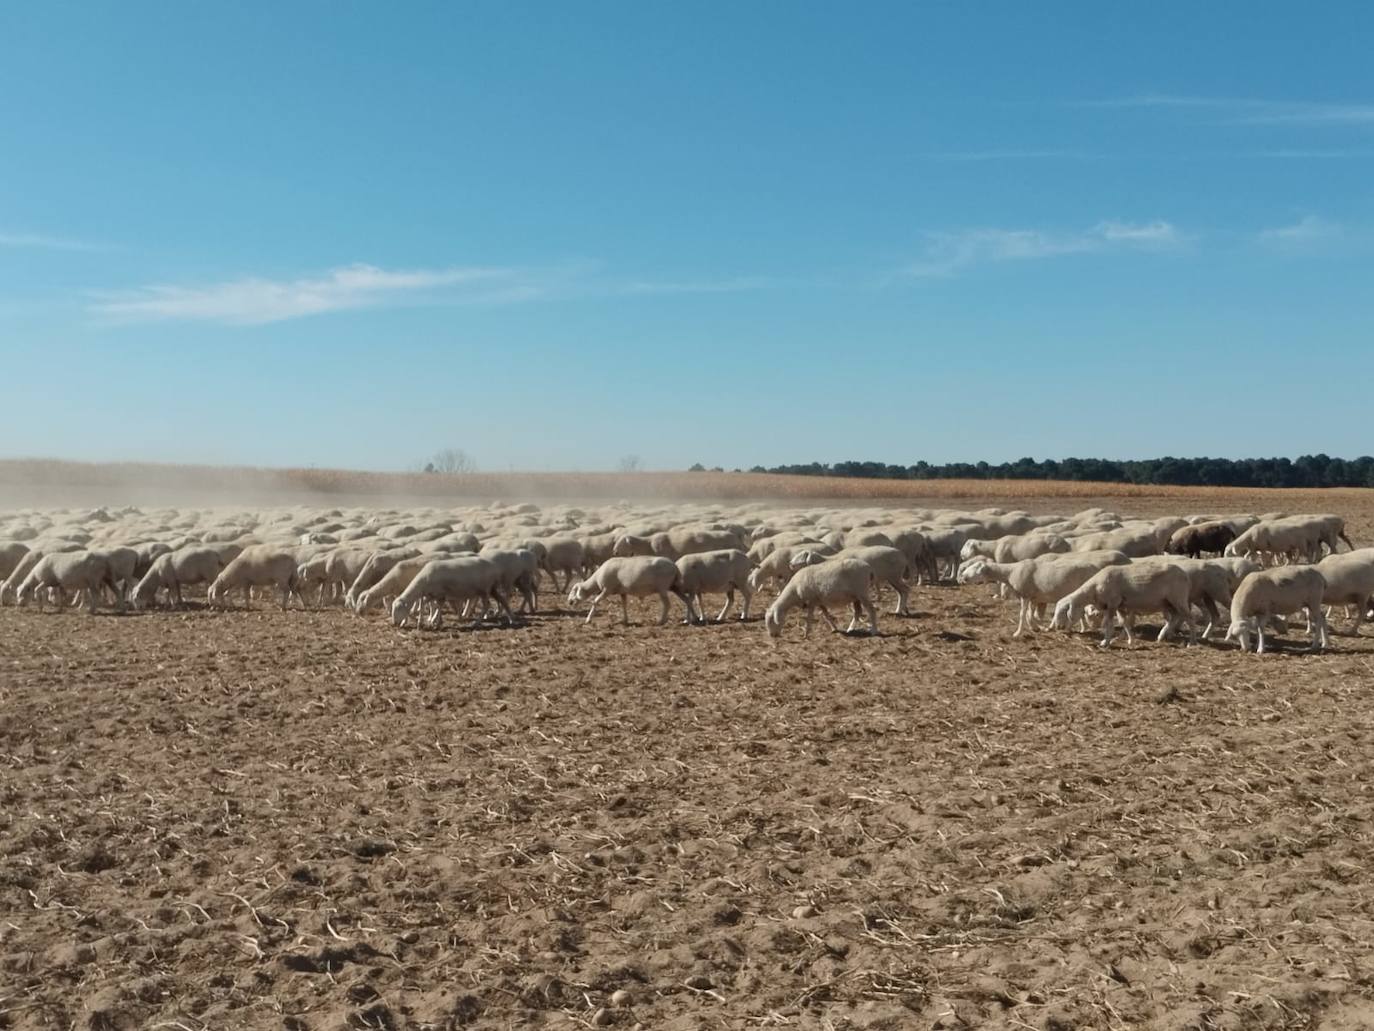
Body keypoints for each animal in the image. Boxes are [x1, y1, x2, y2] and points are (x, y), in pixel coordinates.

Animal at [1050, 563, 1195, 647]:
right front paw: (1130, 640)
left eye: (1063, 611)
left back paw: (1191, 642)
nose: (1057, 627)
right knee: (1175, 618)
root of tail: (1185, 574)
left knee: (1189, 619)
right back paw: (1161, 636)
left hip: (1178, 598)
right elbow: (1124, 622)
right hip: (1169, 602)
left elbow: (1108, 624)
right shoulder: (1118, 605)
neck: (1094, 588)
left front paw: (1105, 642)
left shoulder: (1112, 603)